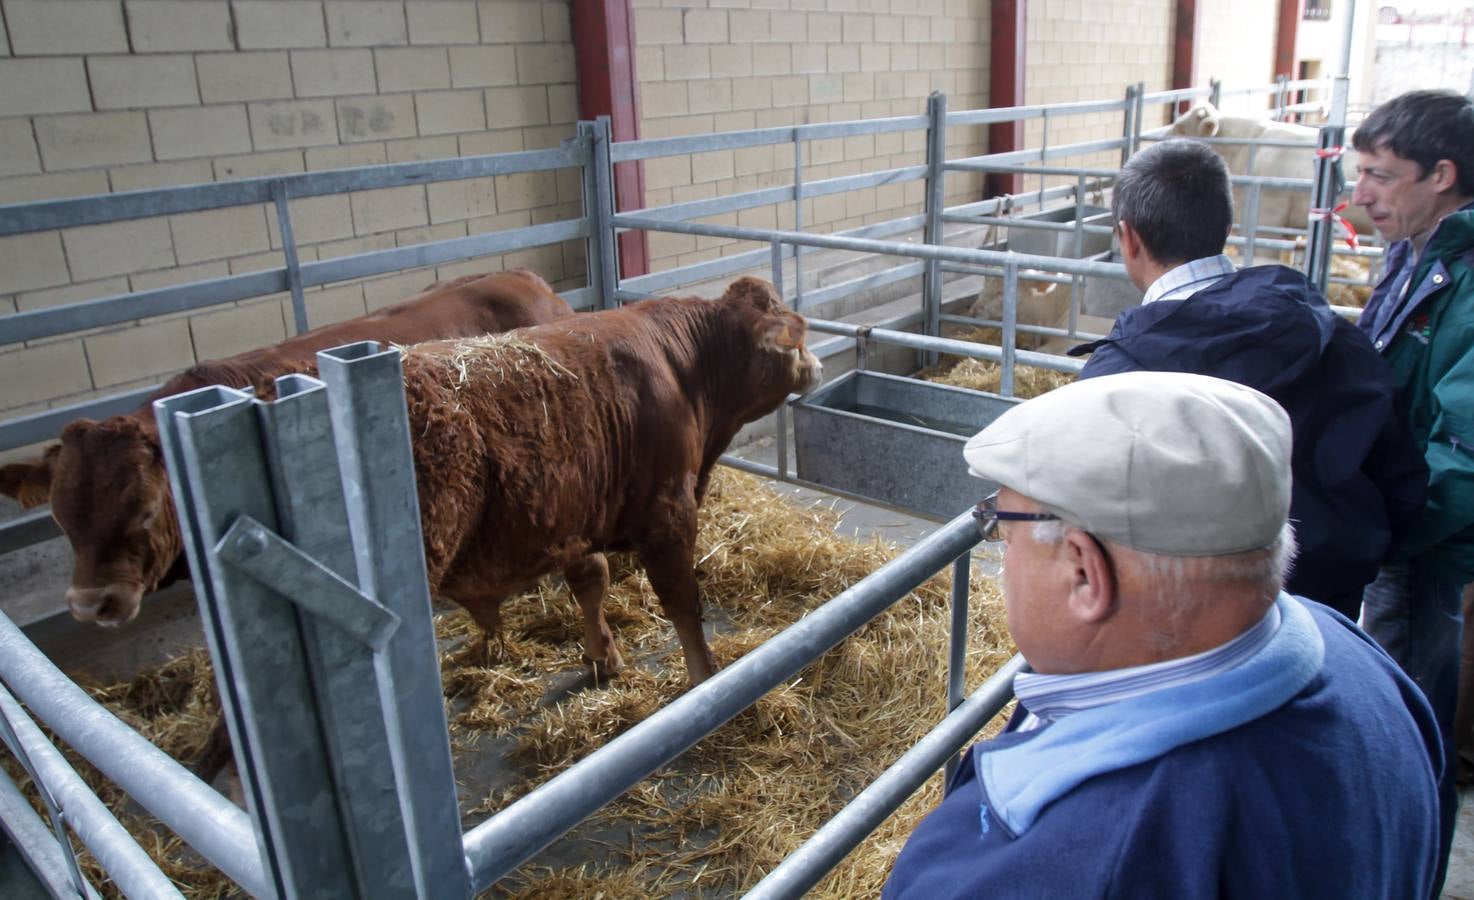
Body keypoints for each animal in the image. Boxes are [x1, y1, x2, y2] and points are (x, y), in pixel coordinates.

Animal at [397, 273, 825, 683]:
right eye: (795, 343)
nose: (819, 366)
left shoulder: (574, 515)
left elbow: (591, 580)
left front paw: (603, 654)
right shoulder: (669, 510)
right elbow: (683, 602)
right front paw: (705, 677)